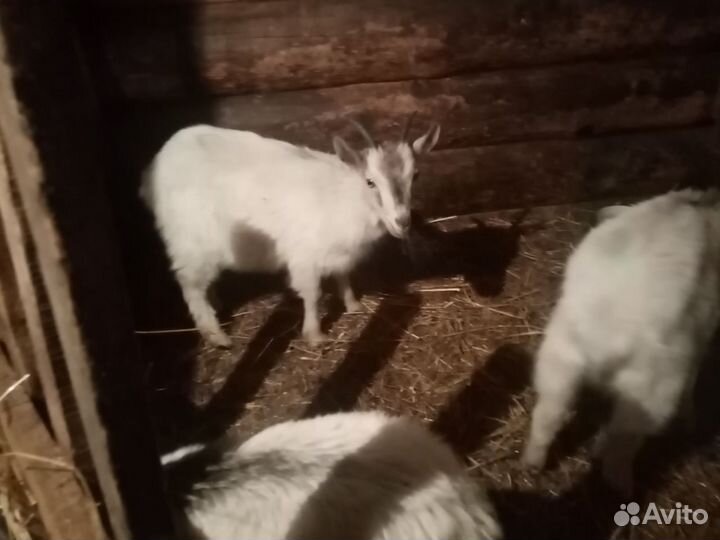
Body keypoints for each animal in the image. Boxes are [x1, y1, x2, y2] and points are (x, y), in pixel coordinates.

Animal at [141, 118, 440, 347]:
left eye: (415, 176)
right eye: (370, 182)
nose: (402, 222)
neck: (345, 196)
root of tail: (155, 166)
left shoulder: (340, 252)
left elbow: (343, 275)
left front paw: (353, 304)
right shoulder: (304, 257)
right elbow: (312, 294)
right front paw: (315, 336)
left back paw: (217, 305)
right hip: (188, 241)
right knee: (190, 285)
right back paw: (216, 336)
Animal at [522, 188, 720, 494]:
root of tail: (605, 339)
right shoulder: (704, 331)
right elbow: (692, 382)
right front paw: (690, 418)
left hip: (558, 363)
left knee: (547, 416)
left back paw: (533, 463)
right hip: (650, 394)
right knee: (622, 442)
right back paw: (621, 485)